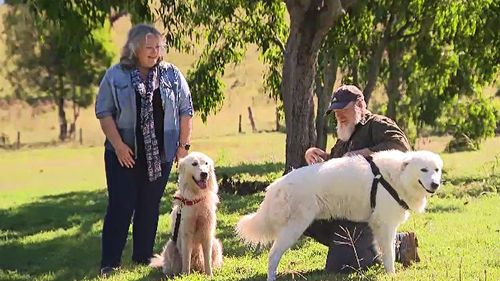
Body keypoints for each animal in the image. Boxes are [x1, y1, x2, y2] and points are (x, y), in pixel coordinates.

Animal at [236, 150, 444, 278]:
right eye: (423, 170)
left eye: (437, 170)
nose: (435, 184)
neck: (397, 176)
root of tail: (276, 185)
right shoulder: (385, 225)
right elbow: (389, 254)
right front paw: (391, 275)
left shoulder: (378, 226)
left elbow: (383, 251)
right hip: (295, 228)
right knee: (273, 256)